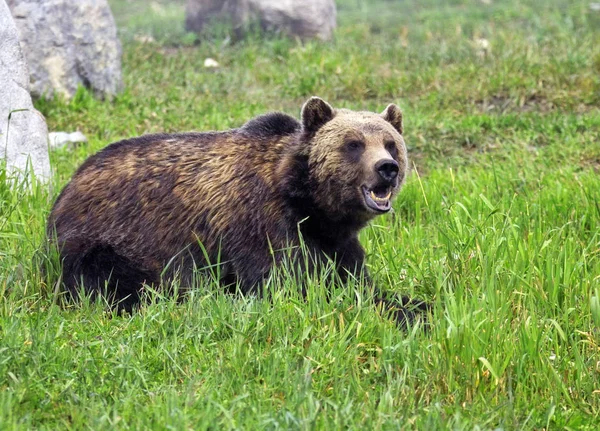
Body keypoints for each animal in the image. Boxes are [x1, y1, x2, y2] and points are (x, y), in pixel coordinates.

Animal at [49, 98, 428, 326]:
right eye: (353, 144)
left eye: (390, 143)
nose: (387, 168)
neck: (308, 205)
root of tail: (70, 183)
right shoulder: (259, 227)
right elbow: (288, 286)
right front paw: (404, 313)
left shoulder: (335, 243)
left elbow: (354, 280)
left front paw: (416, 304)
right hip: (107, 239)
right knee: (112, 278)